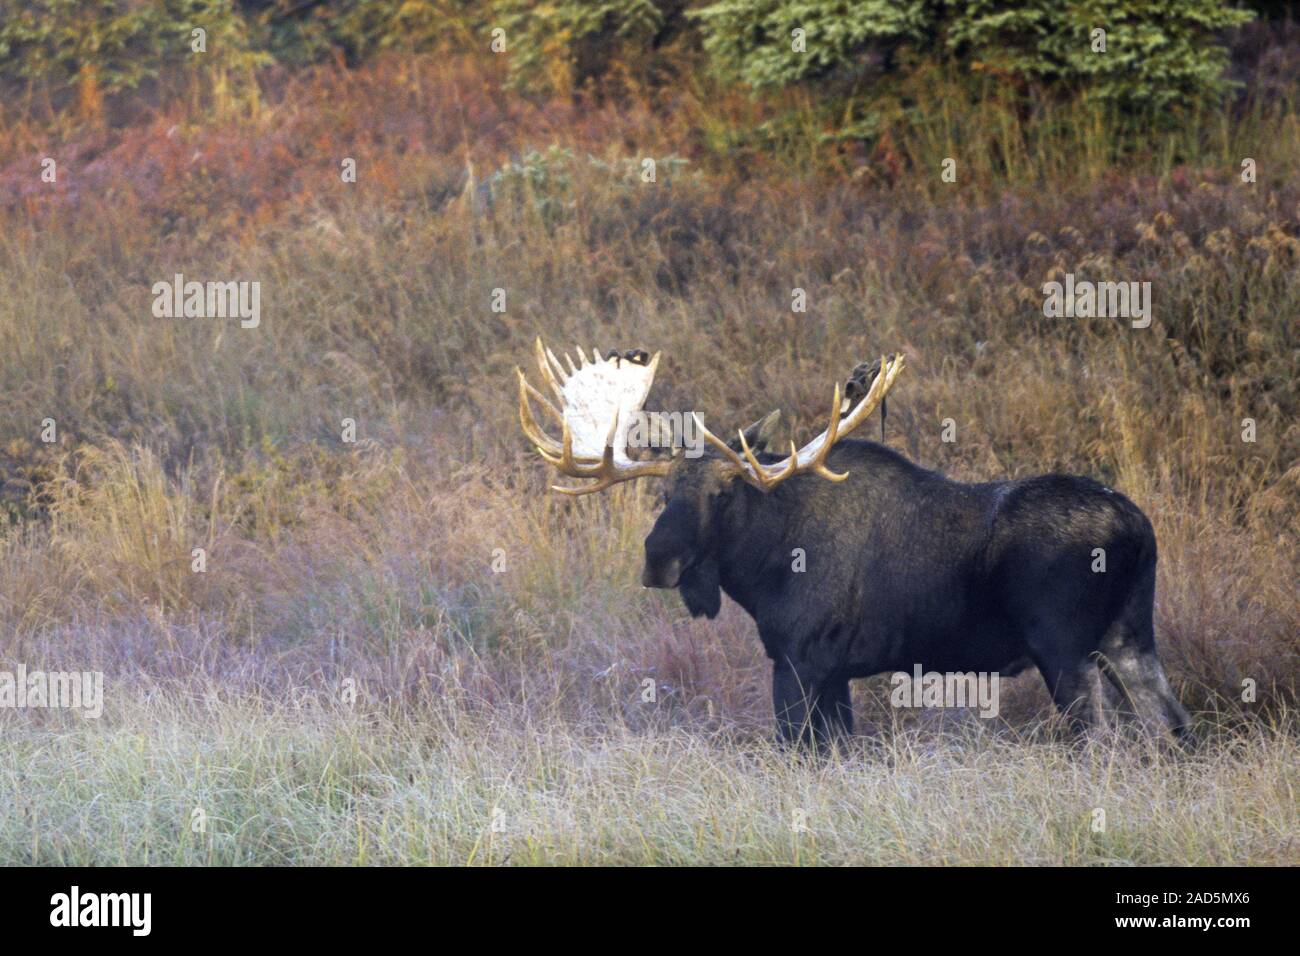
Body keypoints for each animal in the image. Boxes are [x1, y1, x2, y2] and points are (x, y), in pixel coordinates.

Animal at [514, 340, 1190, 749]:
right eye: (662, 493)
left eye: (725, 492)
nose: (658, 559)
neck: (763, 568)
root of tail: (1141, 530)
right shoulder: (834, 672)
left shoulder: (799, 660)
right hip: (1130, 638)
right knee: (1171, 726)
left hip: (1065, 649)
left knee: (1103, 740)